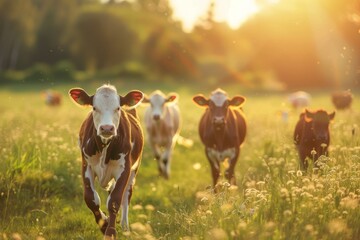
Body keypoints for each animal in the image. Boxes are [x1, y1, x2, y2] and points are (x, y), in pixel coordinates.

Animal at [69, 84, 144, 238]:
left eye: (118, 108)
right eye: (94, 108)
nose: (107, 128)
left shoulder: (124, 169)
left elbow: (115, 201)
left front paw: (110, 232)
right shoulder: (86, 166)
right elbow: (91, 199)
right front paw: (104, 224)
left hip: (134, 170)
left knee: (126, 195)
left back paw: (125, 226)